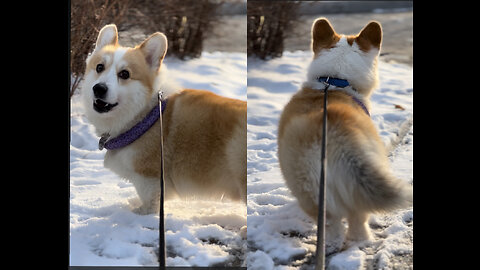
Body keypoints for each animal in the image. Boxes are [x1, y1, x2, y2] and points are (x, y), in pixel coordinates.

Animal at [81, 25, 246, 215]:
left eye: (124, 74)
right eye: (99, 67)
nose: (99, 88)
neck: (144, 117)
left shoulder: (150, 180)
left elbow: (150, 204)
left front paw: (139, 213)